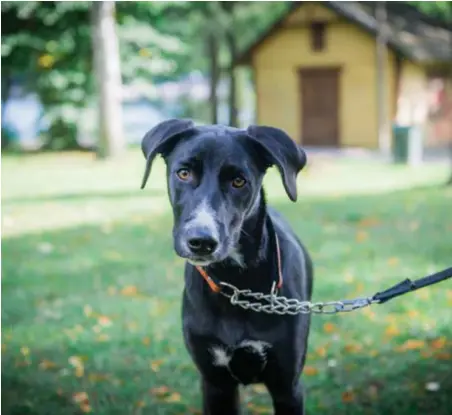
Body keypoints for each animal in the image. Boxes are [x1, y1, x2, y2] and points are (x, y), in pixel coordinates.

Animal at [141, 118, 314, 414]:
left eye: (238, 181)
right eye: (183, 173)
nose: (201, 241)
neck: (237, 285)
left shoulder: (287, 388)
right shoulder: (215, 384)